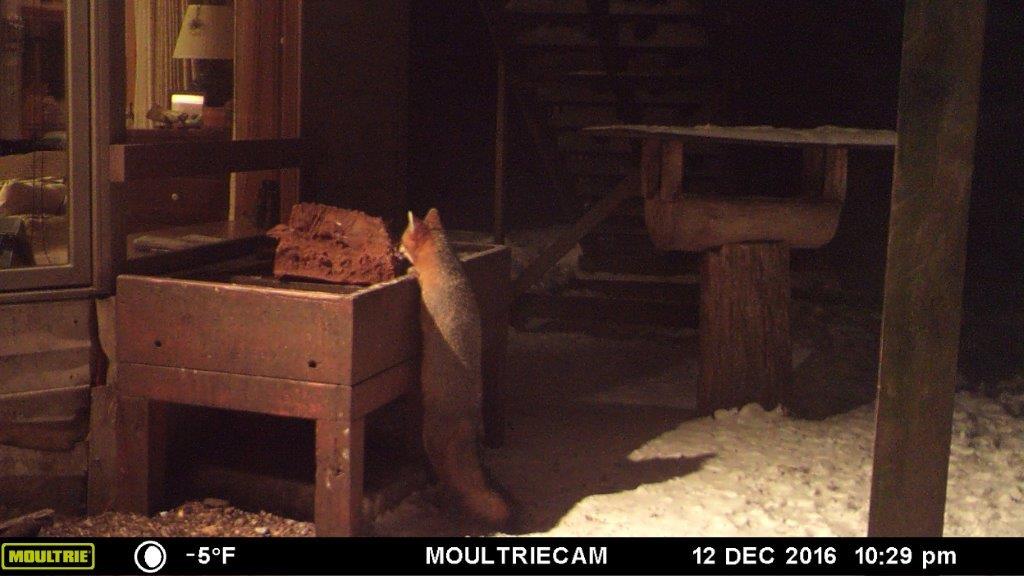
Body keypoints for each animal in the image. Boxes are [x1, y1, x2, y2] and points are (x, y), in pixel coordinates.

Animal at [399, 208, 511, 528]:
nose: (394, 250)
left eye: (401, 238)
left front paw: (411, 272)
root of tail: (469, 421)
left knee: (447, 480)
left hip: (429, 440)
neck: (446, 267)